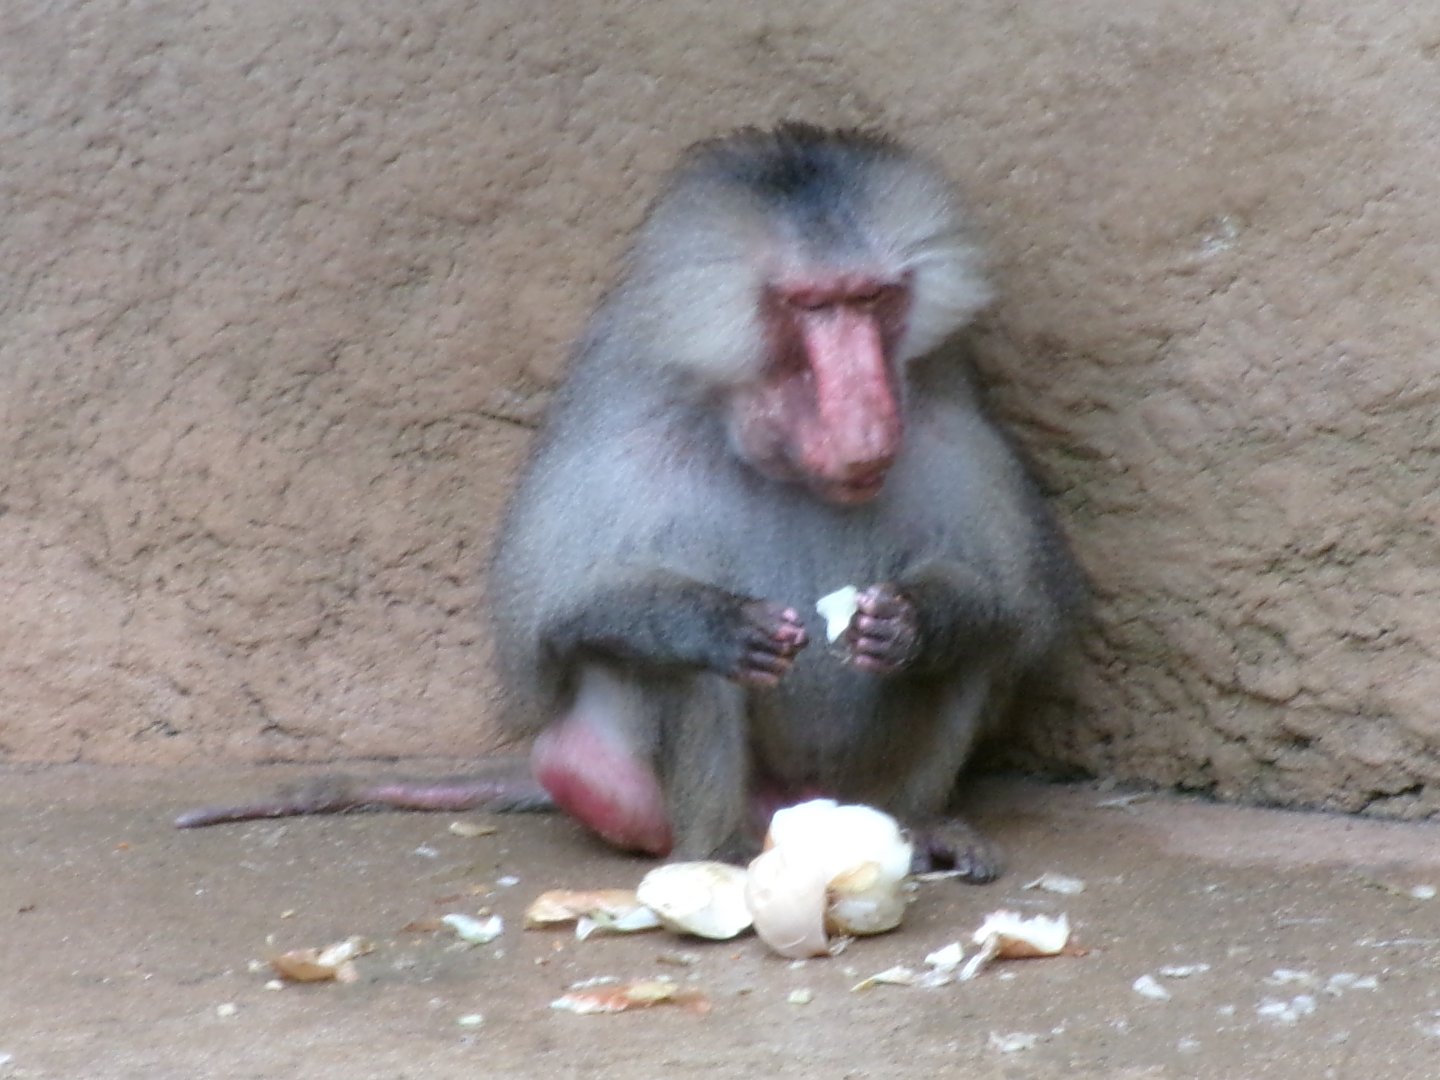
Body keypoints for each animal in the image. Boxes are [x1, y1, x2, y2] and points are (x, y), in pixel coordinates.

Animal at [177, 124, 1083, 882]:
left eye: (875, 300)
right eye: (808, 306)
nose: (866, 430)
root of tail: (795, 812)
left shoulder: (950, 429)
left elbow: (1013, 611)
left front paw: (907, 622)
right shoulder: (618, 447)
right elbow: (565, 618)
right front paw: (721, 624)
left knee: (972, 657)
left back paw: (917, 829)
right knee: (666, 674)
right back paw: (714, 853)